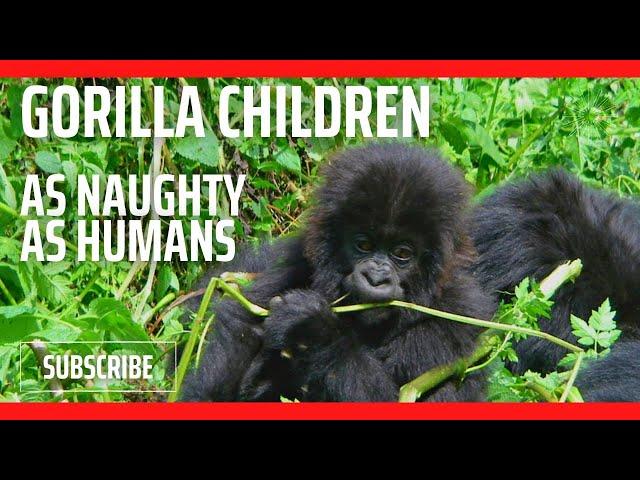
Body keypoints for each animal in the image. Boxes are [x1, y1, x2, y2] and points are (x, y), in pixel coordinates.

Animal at [180, 142, 496, 402]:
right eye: (364, 245)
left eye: (403, 254)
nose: (376, 278)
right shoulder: (295, 262)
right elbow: (238, 329)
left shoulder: (457, 317)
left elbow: (404, 394)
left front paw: (313, 328)